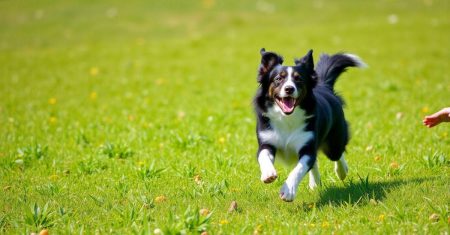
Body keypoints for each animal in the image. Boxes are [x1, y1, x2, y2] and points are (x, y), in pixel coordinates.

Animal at [255, 48, 364, 202]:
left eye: (298, 79)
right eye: (278, 79)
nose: (289, 89)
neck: (287, 117)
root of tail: (325, 86)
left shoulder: (307, 145)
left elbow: (300, 168)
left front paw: (288, 191)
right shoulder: (267, 140)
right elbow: (263, 155)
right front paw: (268, 174)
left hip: (334, 141)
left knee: (337, 153)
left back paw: (342, 171)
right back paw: (315, 183)